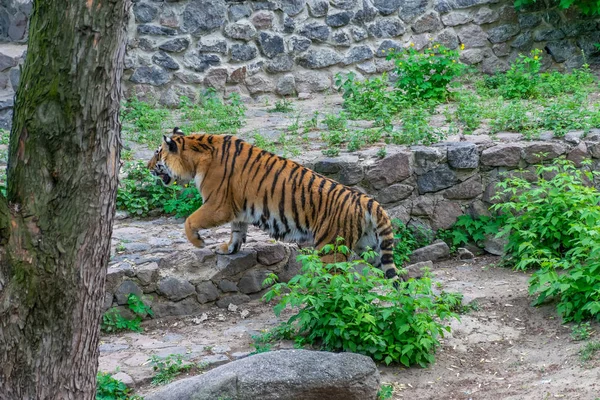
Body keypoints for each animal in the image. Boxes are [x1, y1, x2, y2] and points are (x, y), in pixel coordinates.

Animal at [146, 128, 400, 282]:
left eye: (157, 154)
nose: (147, 167)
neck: (195, 155)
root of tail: (366, 199)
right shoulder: (236, 209)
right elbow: (237, 231)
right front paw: (229, 248)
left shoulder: (218, 204)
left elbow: (190, 220)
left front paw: (198, 242)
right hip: (371, 248)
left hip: (330, 247)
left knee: (335, 280)